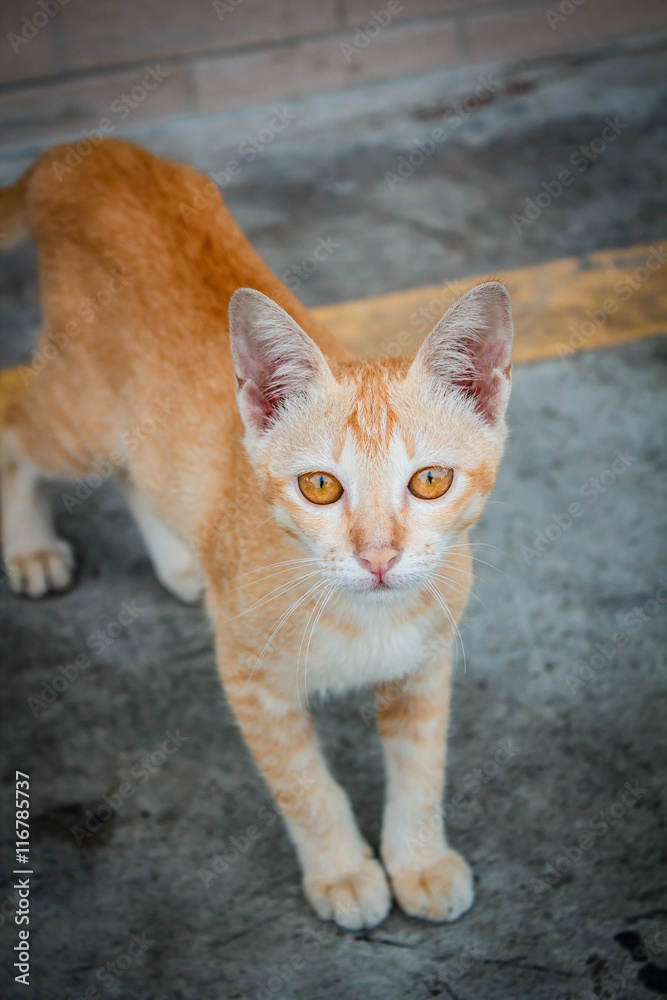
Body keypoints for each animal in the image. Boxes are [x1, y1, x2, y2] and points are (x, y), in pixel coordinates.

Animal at [0, 139, 516, 928]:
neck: (363, 616)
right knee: (18, 432)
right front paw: (341, 870)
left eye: (430, 481)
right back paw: (29, 545)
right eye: (320, 487)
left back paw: (181, 557)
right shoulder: (247, 677)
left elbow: (421, 769)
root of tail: (89, 149)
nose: (378, 556)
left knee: (139, 469)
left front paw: (419, 860)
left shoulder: (425, 666)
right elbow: (303, 784)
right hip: (80, 417)